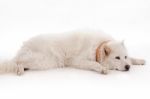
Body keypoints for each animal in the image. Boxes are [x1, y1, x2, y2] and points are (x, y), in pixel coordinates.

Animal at [0, 31, 145, 75]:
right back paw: (19, 70)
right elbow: (94, 64)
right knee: (17, 63)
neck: (97, 48)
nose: (128, 67)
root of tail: (24, 47)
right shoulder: (78, 61)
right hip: (41, 60)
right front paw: (102, 69)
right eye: (117, 58)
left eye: (124, 57)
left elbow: (133, 58)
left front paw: (140, 60)